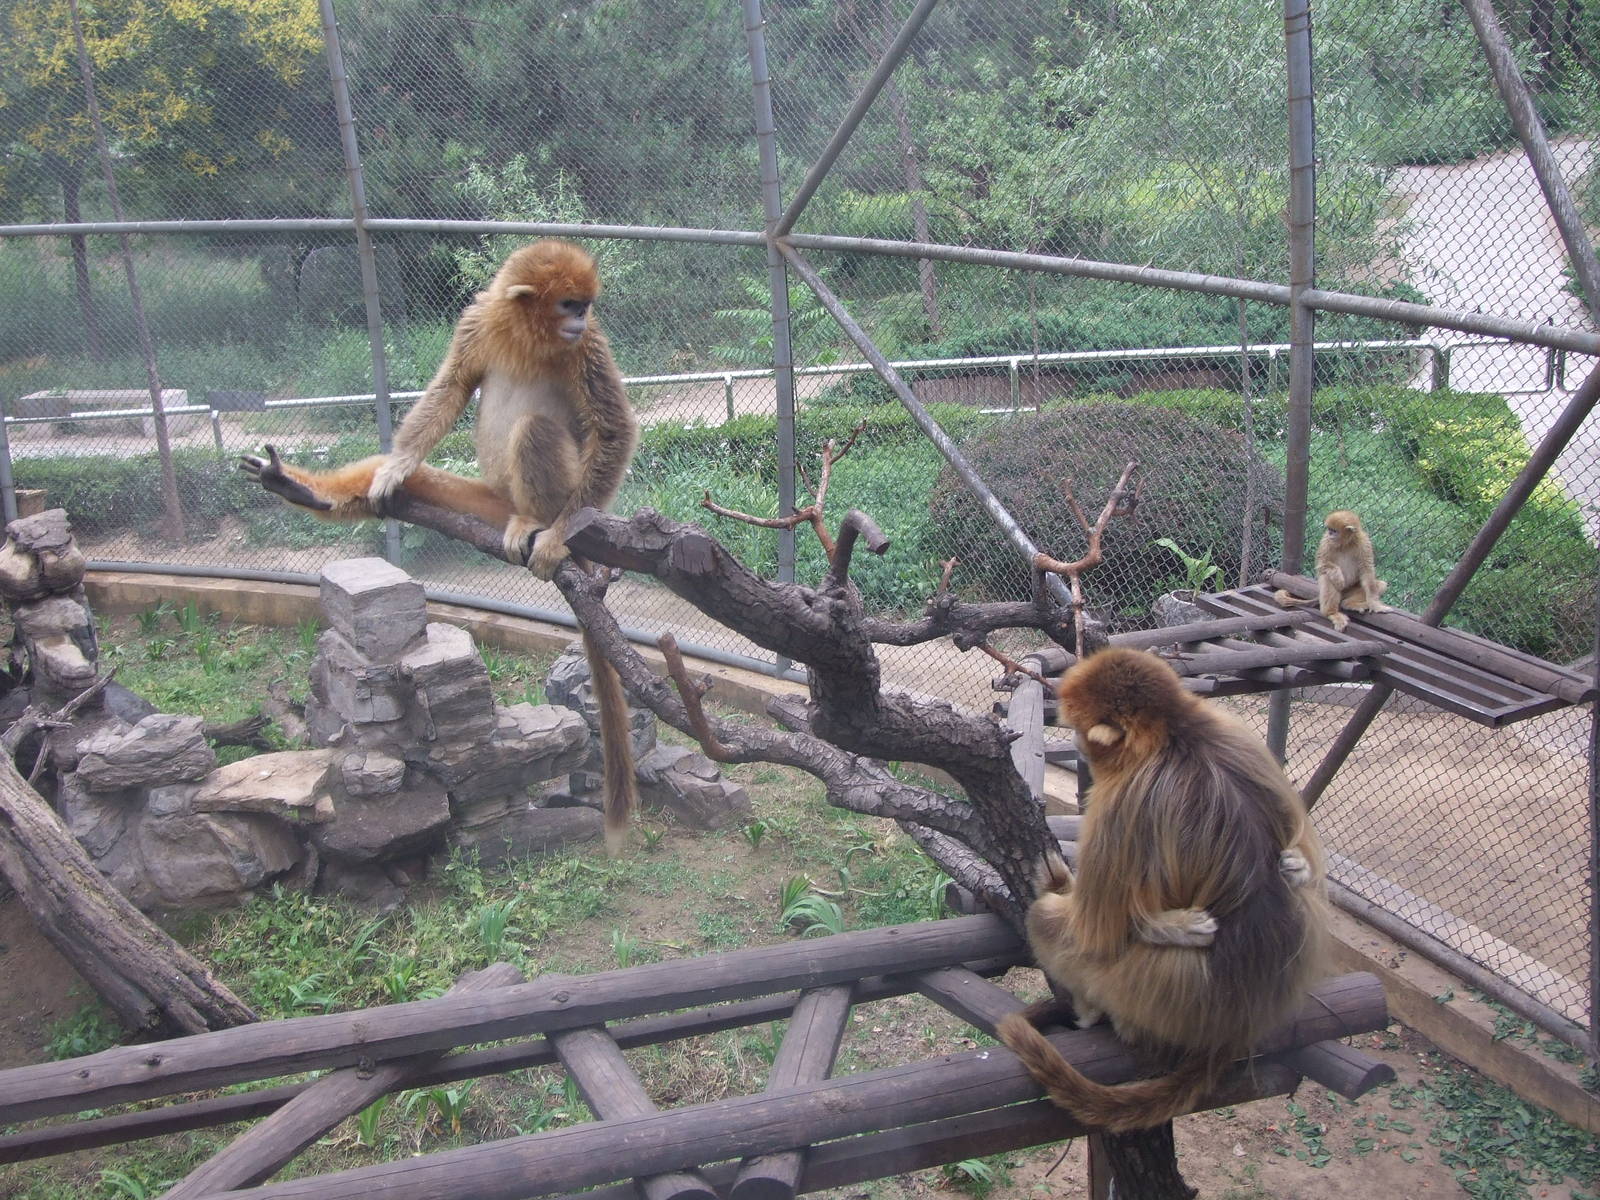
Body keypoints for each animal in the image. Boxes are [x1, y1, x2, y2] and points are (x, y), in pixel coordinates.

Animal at [241, 239, 641, 853]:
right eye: (569, 303)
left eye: (585, 307)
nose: (580, 319)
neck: (527, 337)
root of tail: (505, 503)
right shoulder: (477, 323)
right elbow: (450, 388)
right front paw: (398, 463)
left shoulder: (588, 345)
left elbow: (614, 428)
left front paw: (555, 540)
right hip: (483, 498)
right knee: (407, 481)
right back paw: (311, 490)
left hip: (553, 492)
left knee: (533, 430)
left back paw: (543, 527)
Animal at [995, 647, 1326, 1133]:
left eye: (1080, 729)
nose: (1076, 744)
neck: (1178, 735)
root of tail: (1238, 1024)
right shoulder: (1237, 733)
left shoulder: (1119, 803)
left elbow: (1094, 931)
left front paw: (1059, 884)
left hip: (1137, 989)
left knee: (1051, 922)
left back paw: (1091, 1008)